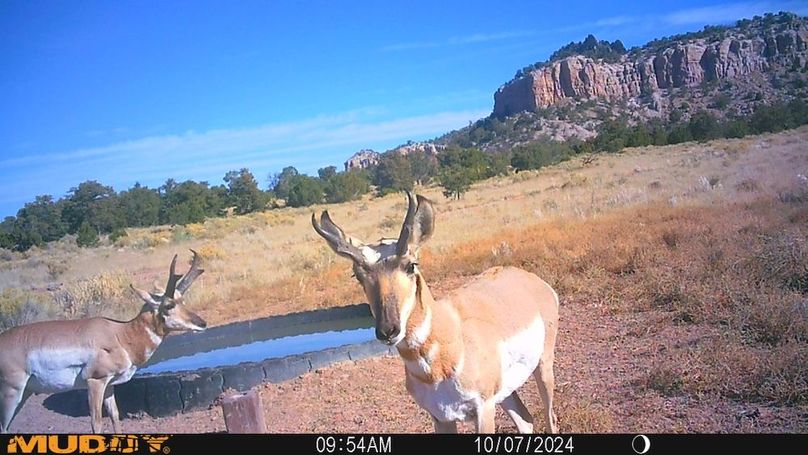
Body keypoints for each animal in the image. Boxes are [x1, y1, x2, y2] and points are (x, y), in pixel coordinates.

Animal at [0, 253, 208, 434]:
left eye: (182, 301)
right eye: (168, 305)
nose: (202, 323)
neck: (120, 335)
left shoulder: (109, 385)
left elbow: (115, 416)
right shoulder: (95, 382)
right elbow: (97, 423)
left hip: (25, 393)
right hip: (12, 393)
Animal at [312, 192, 560, 434]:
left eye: (411, 265)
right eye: (358, 275)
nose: (388, 330)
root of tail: (528, 278)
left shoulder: (484, 409)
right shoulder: (441, 417)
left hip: (543, 366)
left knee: (551, 418)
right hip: (506, 392)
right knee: (526, 420)